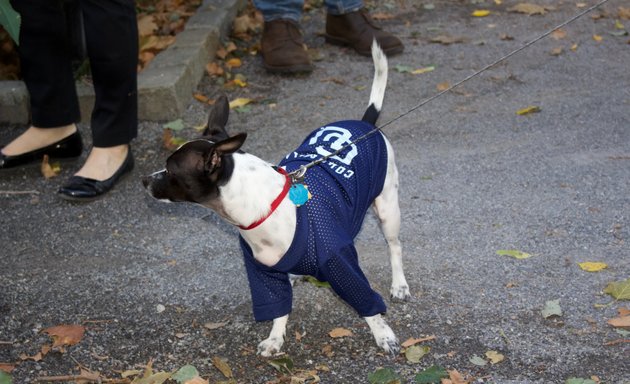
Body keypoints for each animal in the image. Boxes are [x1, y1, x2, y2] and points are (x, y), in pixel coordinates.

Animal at [143, 42, 410, 356]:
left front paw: (383, 335)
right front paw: (275, 337)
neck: (265, 205)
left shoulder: (342, 266)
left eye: (170, 170)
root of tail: (365, 124)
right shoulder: (262, 273)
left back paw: (400, 284)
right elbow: (278, 306)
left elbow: (367, 304)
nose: (144, 180)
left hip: (388, 209)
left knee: (394, 246)